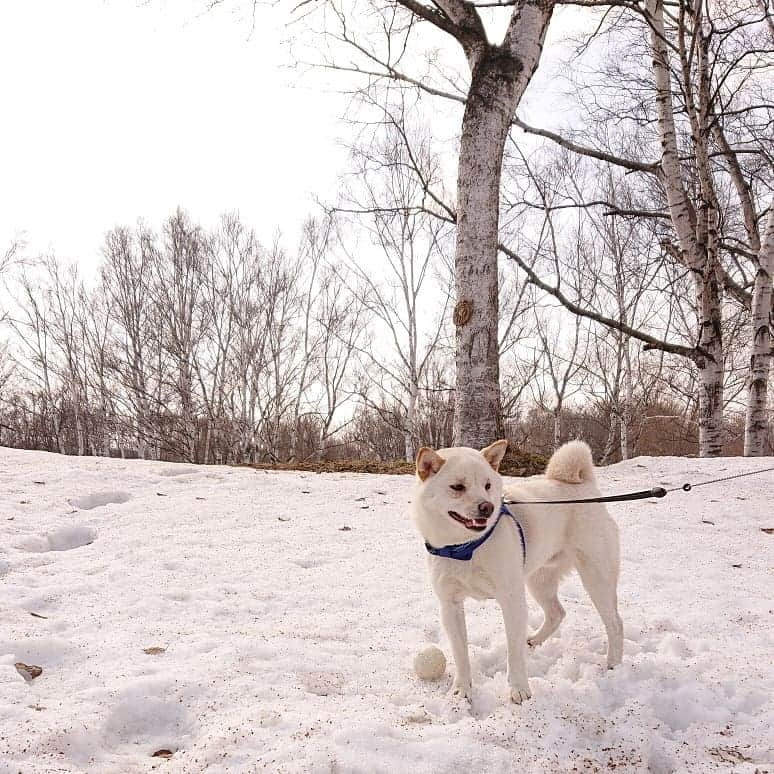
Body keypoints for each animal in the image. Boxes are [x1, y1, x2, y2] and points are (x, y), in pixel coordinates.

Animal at [412, 442, 624, 704]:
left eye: (488, 485)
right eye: (457, 487)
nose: (488, 507)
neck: (466, 548)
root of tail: (584, 485)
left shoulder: (512, 600)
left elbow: (514, 653)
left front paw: (519, 689)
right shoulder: (450, 606)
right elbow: (461, 653)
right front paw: (462, 690)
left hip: (596, 579)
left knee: (615, 623)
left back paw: (613, 664)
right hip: (538, 581)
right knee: (557, 613)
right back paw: (534, 640)